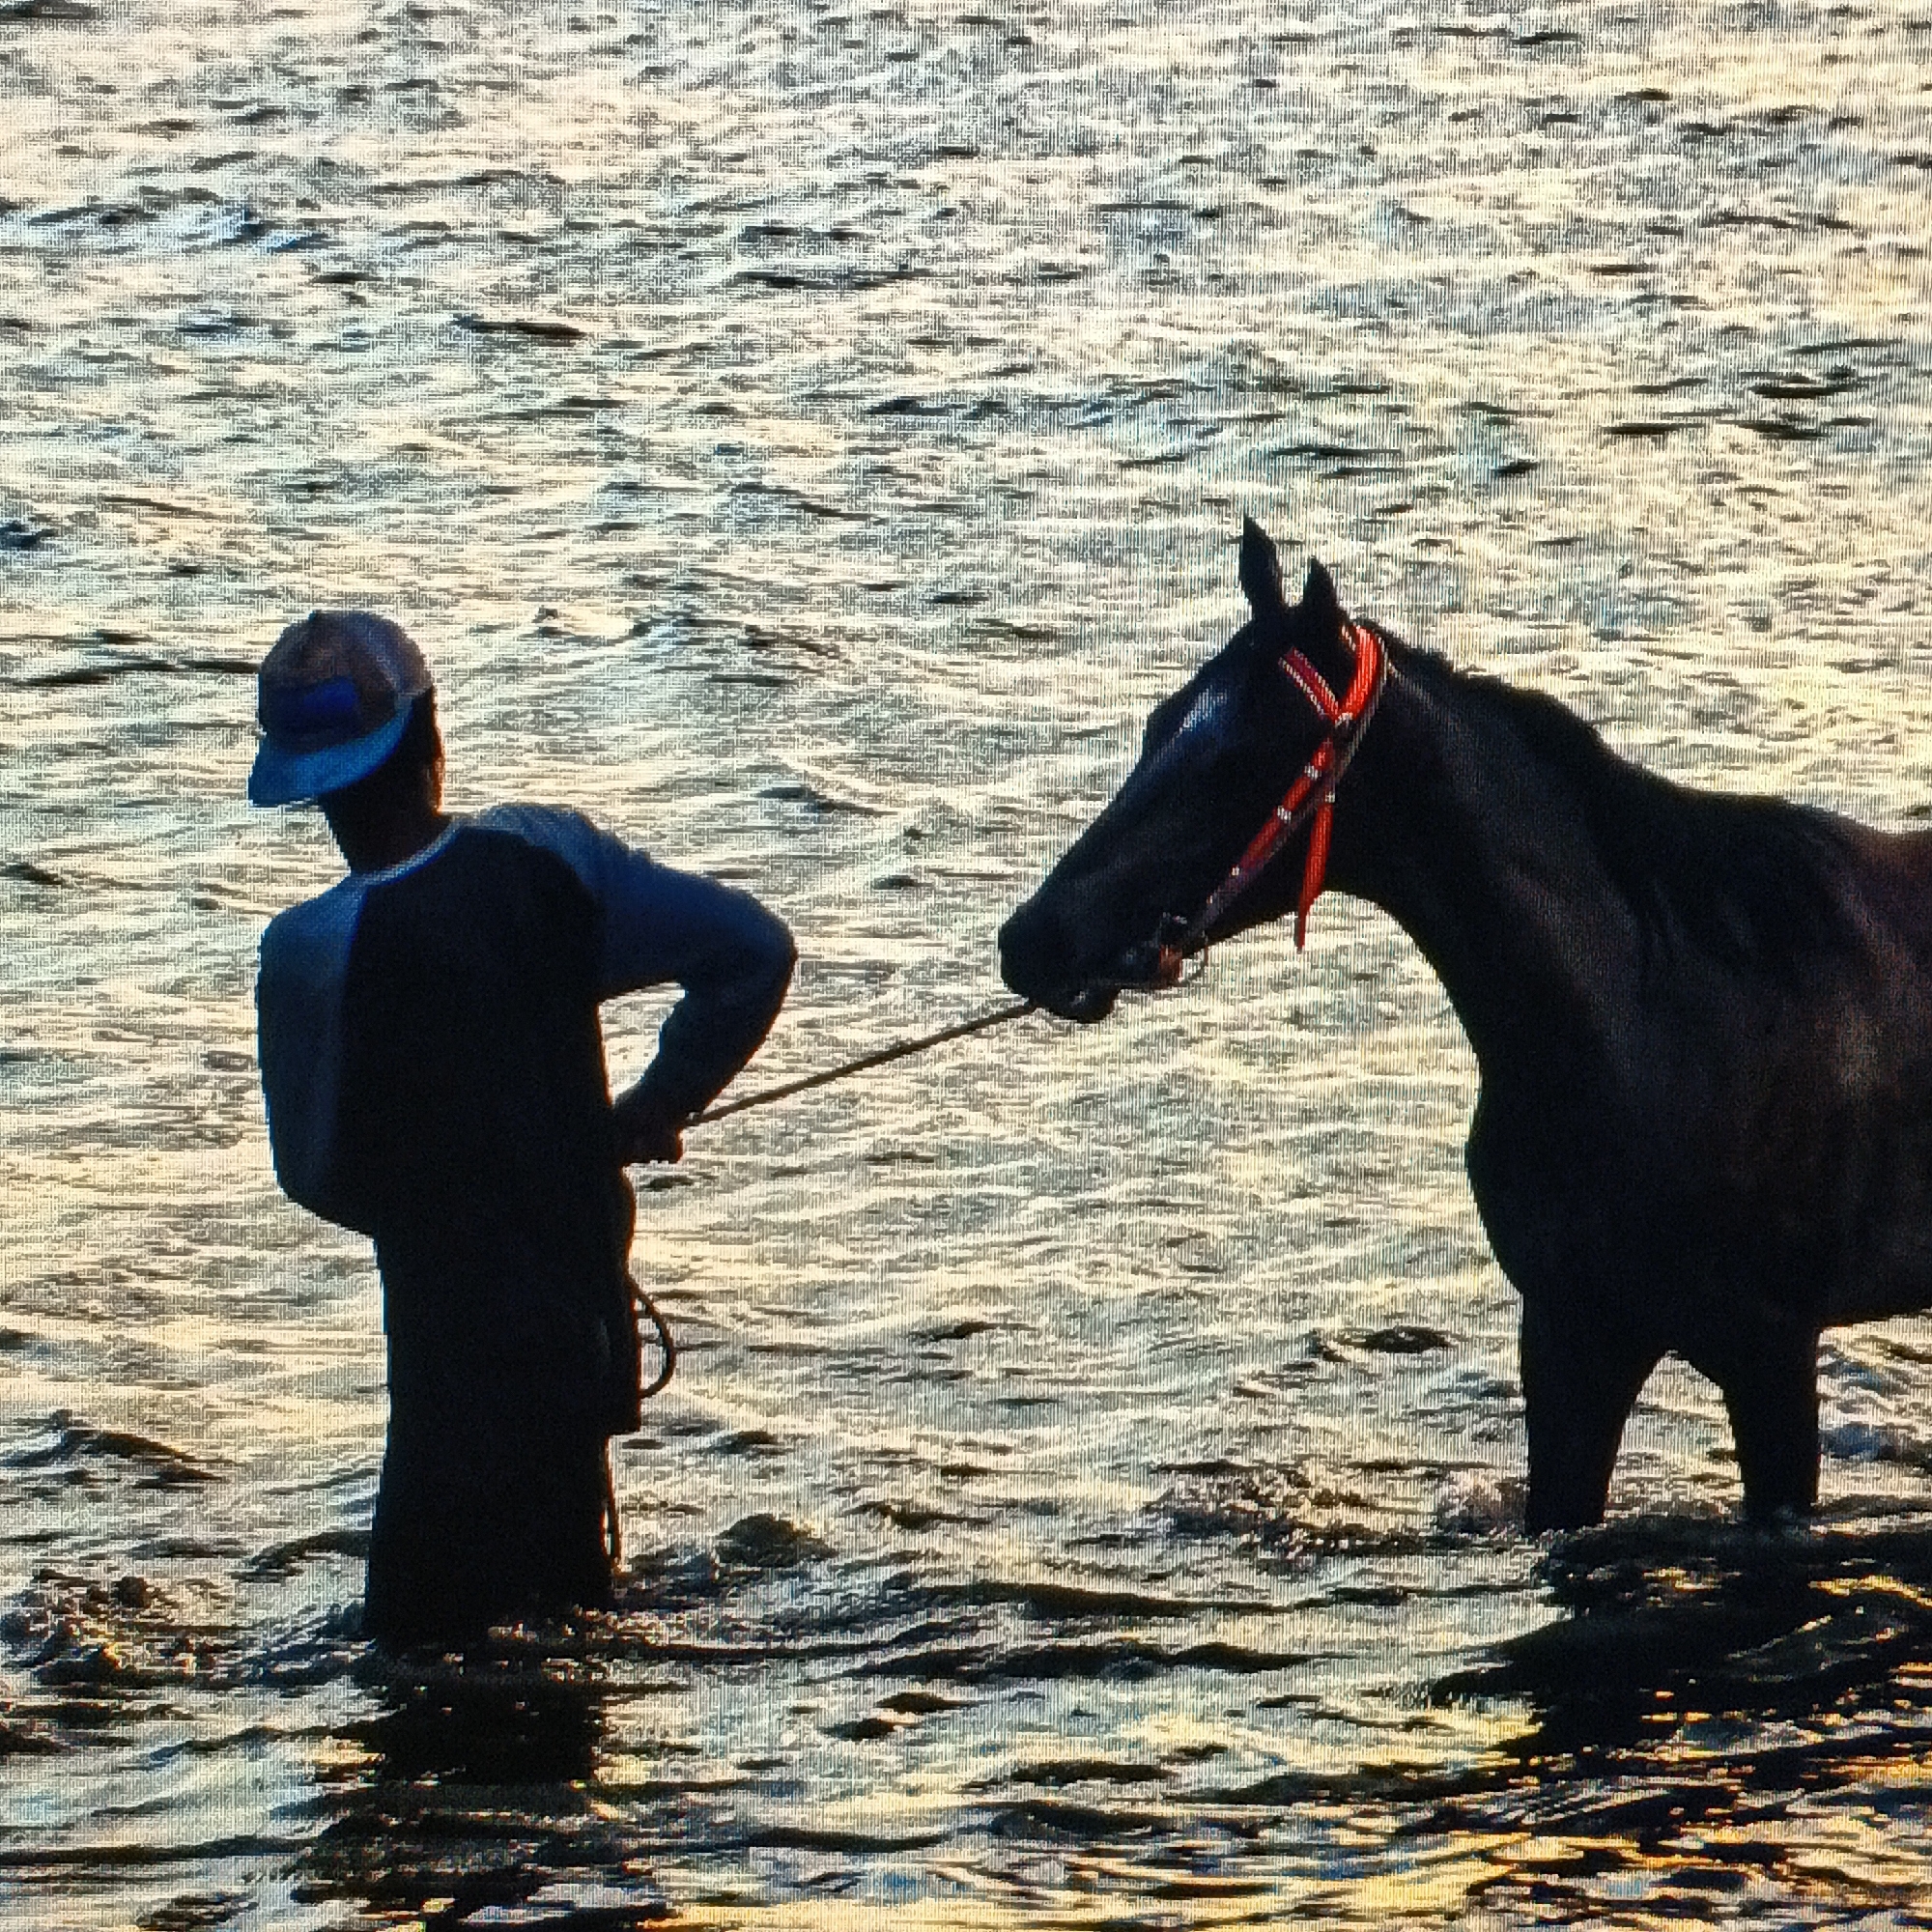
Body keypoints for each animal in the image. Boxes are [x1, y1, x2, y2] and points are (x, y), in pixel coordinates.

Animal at [999, 517, 1932, 1532]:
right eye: (1162, 723)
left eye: (1237, 758)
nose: (1033, 940)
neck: (1655, 1015)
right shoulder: (1572, 1342)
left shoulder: (1768, 1356)